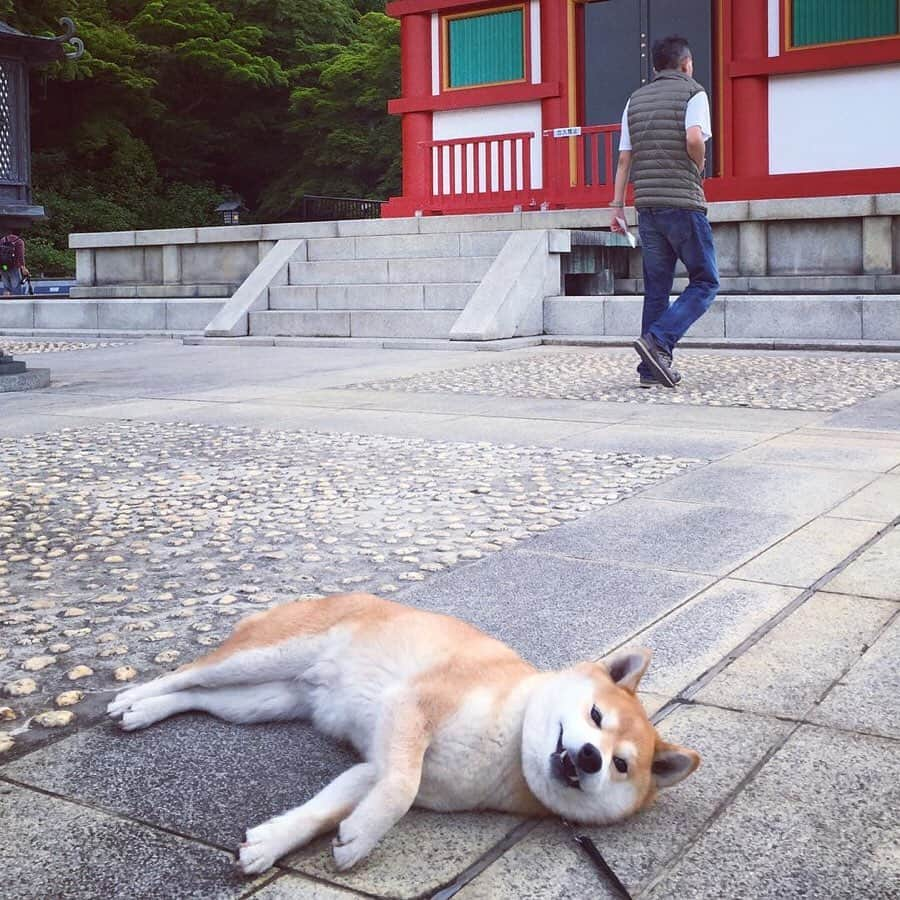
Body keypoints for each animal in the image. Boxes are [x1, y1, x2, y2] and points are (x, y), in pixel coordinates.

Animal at [105, 596, 696, 876]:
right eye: (595, 716)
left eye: (622, 765)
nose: (592, 758)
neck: (506, 749)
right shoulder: (412, 710)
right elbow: (399, 790)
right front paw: (364, 836)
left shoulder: (375, 763)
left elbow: (326, 809)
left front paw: (277, 842)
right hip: (268, 657)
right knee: (187, 672)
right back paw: (130, 698)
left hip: (263, 700)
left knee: (198, 695)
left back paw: (146, 713)